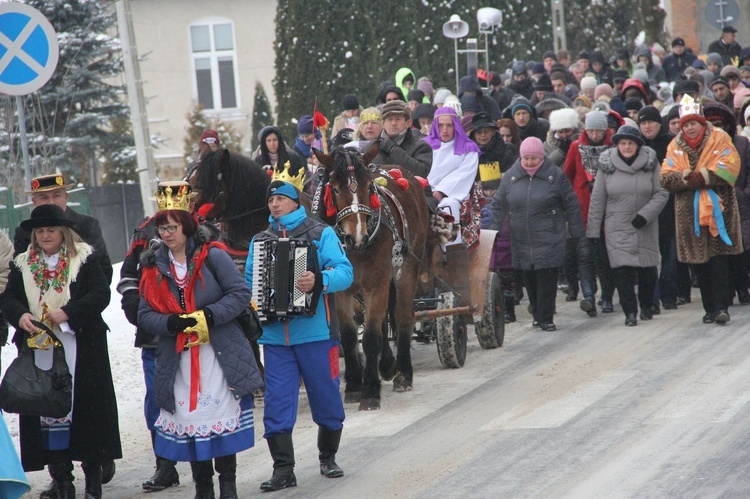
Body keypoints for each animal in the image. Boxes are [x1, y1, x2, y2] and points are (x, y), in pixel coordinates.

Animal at [312, 144, 428, 410]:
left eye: (367, 187)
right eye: (335, 188)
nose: (357, 235)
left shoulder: (377, 283)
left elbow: (372, 337)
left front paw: (370, 390)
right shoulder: (340, 291)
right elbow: (348, 336)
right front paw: (354, 385)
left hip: (407, 269)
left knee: (403, 315)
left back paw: (402, 373)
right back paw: (386, 365)